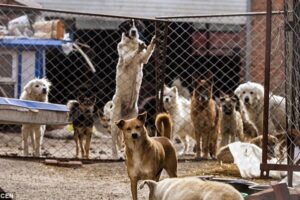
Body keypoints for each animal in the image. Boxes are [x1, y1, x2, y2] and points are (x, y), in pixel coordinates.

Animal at [110, 19, 157, 159]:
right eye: (128, 25)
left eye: (137, 25)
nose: (134, 31)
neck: (131, 43)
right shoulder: (126, 59)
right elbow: (130, 55)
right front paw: (138, 47)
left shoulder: (144, 59)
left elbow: (148, 51)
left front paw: (152, 41)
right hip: (114, 122)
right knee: (113, 140)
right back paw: (115, 155)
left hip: (133, 118)